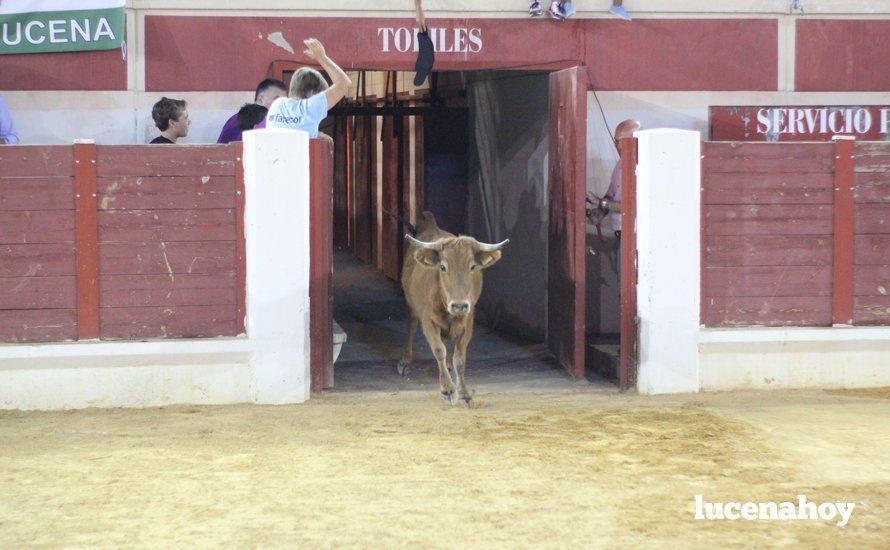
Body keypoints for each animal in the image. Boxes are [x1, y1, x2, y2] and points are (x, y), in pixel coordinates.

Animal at [398, 213, 506, 408]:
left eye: (472, 266)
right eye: (442, 267)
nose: (459, 305)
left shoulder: (468, 324)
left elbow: (460, 359)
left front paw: (464, 394)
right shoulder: (428, 322)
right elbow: (439, 350)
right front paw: (448, 389)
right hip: (410, 304)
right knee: (411, 327)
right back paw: (405, 361)